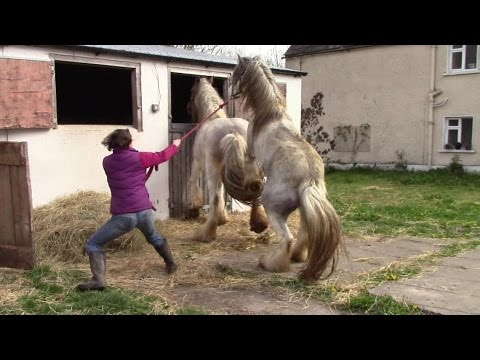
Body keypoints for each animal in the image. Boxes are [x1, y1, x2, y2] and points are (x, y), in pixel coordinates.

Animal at [186, 77, 268, 243]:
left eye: (191, 93)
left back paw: (206, 233)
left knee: (215, 198)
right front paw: (223, 218)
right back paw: (259, 224)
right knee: (257, 192)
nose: (187, 110)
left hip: (212, 169)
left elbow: (193, 182)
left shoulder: (197, 163)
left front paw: (193, 208)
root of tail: (233, 133)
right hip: (254, 170)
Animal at [231, 56, 344, 282]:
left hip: (273, 208)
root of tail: (309, 180)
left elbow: (251, 170)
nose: (232, 92)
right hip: (304, 208)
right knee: (305, 233)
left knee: (287, 238)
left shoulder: (251, 151)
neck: (270, 114)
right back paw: (296, 256)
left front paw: (251, 183)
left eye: (236, 72)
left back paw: (269, 263)